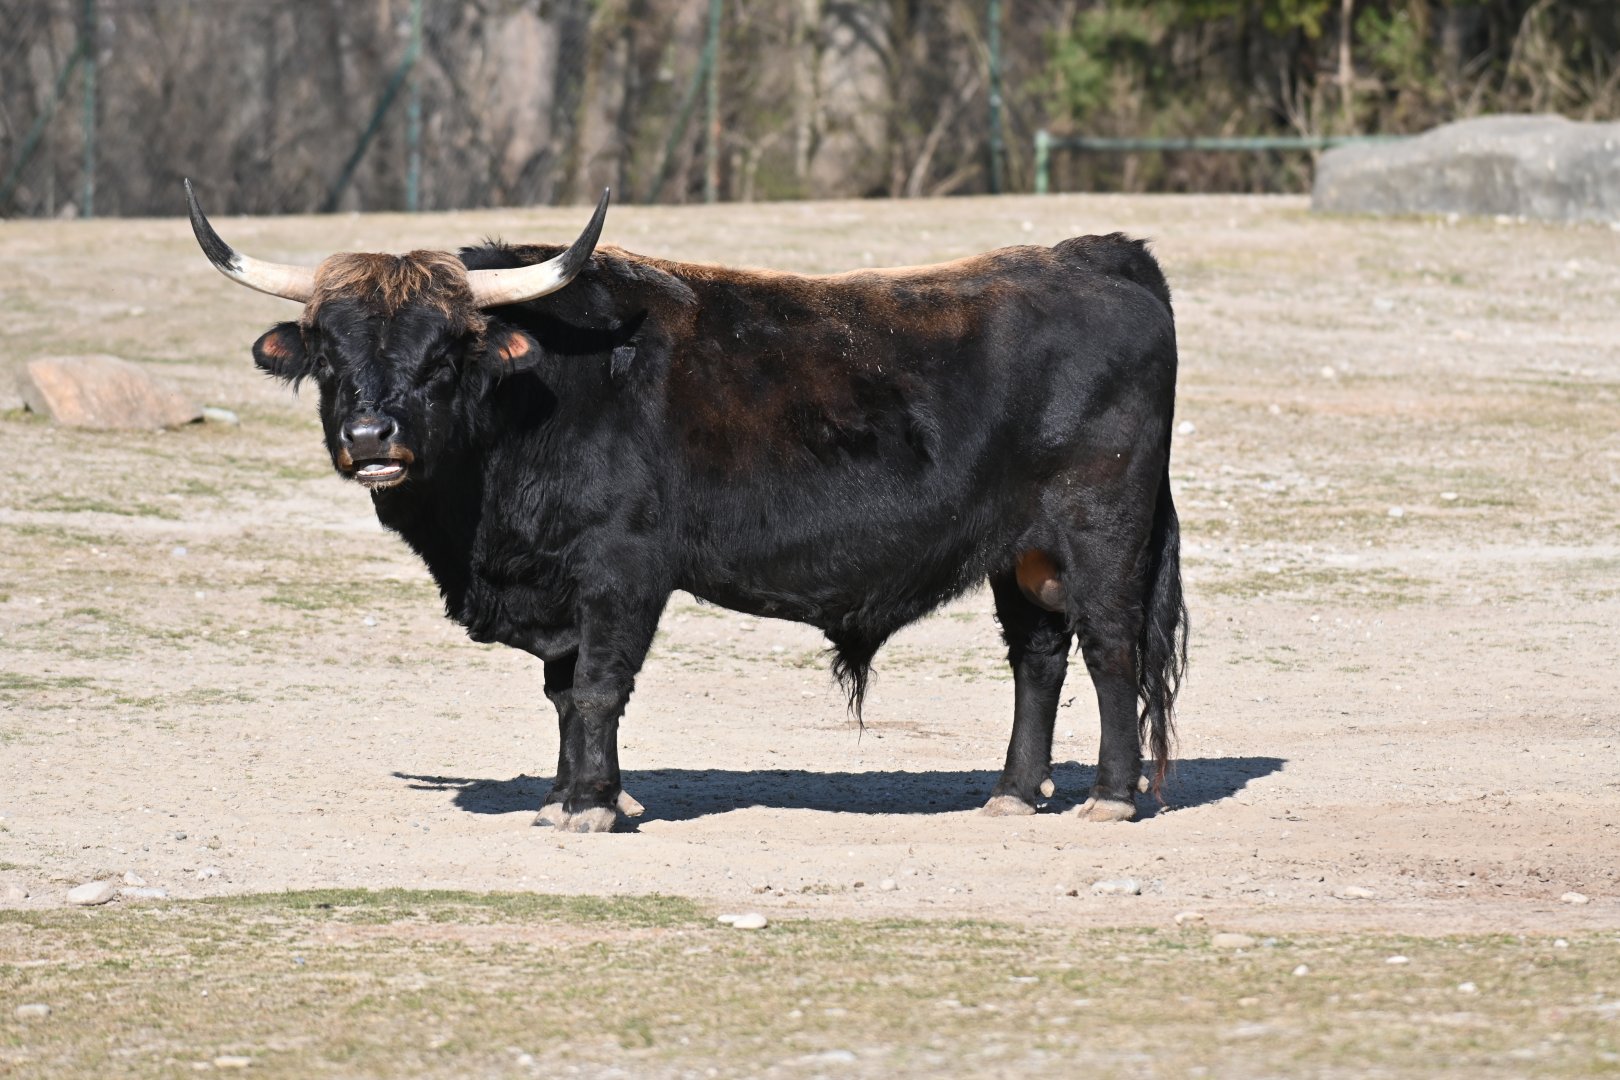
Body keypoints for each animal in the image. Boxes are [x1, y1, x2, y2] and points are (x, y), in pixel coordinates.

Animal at [185, 181, 1186, 832]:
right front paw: (565, 794)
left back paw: (1109, 796)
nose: (371, 439)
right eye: (328, 350)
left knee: (1109, 650)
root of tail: (1101, 256)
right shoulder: (560, 587)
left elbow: (598, 685)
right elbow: (562, 691)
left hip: (1101, 534)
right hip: (1023, 555)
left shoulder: (620, 571)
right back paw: (1014, 791)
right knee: (1037, 659)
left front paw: (590, 807)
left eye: (445, 355)